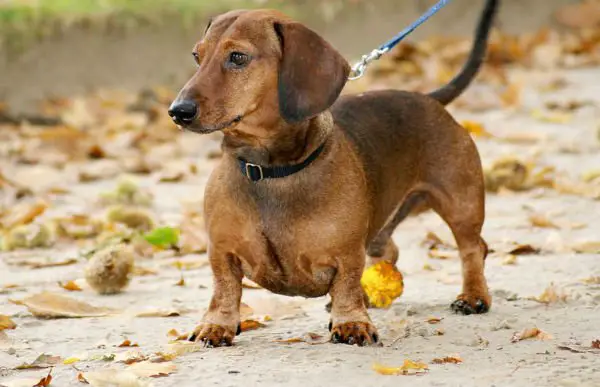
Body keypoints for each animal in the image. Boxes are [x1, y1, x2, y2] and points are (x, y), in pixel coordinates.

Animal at [168, 0, 496, 348]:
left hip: (461, 203)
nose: (177, 111)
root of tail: (429, 98)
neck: (270, 171)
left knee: (473, 248)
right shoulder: (221, 251)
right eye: (197, 56)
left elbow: (347, 284)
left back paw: (473, 296)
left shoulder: (347, 252)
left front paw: (351, 322)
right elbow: (224, 289)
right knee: (388, 251)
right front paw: (216, 325)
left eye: (238, 57)